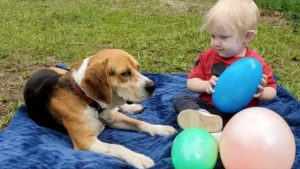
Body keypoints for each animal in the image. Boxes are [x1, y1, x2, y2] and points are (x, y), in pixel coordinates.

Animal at [25, 48, 178, 168]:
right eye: (125, 73)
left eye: (138, 68)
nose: (153, 86)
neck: (88, 99)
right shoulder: (86, 141)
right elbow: (117, 146)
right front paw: (138, 157)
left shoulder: (113, 118)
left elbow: (140, 123)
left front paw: (160, 129)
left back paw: (131, 107)